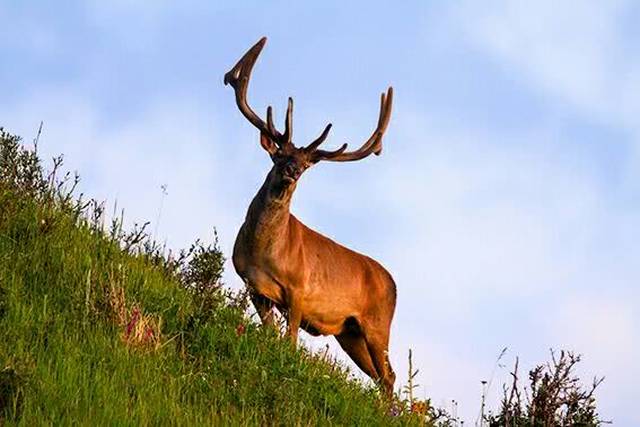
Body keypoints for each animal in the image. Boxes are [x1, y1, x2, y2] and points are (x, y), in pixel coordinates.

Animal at [224, 38, 396, 396]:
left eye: (304, 166)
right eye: (279, 154)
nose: (291, 171)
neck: (265, 252)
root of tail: (394, 283)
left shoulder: (299, 292)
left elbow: (288, 343)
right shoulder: (254, 287)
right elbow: (270, 337)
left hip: (377, 325)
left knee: (388, 376)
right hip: (350, 334)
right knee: (382, 375)